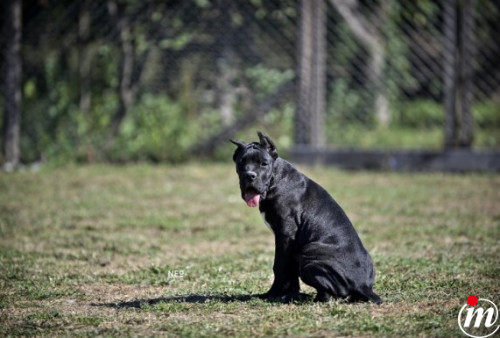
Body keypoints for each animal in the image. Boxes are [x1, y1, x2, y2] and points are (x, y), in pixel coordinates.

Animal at [232, 132, 380, 304]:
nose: (250, 175)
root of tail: (364, 286)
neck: (276, 179)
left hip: (309, 252)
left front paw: (273, 295)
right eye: (241, 163)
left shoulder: (285, 235)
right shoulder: (290, 243)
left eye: (264, 164)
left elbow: (279, 266)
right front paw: (289, 294)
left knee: (329, 294)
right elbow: (290, 271)